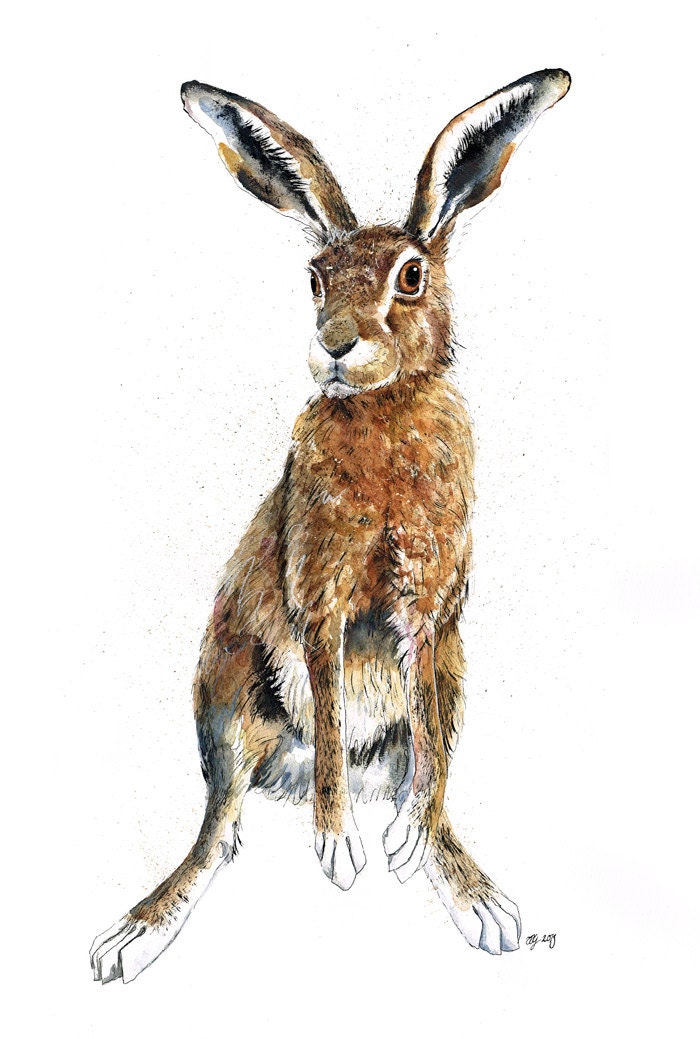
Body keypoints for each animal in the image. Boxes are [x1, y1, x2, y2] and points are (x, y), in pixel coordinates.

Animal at [90, 68, 570, 984]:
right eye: (315, 278)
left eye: (411, 276)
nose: (336, 345)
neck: (384, 409)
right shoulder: (320, 591)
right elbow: (327, 690)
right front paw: (338, 845)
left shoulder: (429, 608)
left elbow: (424, 741)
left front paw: (402, 846)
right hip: (229, 695)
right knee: (219, 827)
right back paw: (132, 936)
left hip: (455, 677)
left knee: (427, 766)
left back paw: (467, 888)